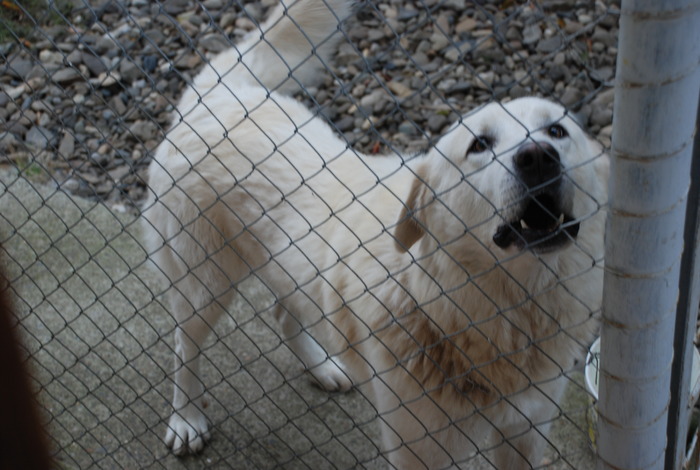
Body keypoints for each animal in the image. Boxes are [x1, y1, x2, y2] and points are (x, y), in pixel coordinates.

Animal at [142, 1, 608, 468]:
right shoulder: (418, 447)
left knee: (283, 313)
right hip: (204, 285)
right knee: (184, 348)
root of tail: (218, 97)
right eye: (479, 145)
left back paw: (322, 367)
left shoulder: (526, 429)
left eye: (557, 131)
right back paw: (186, 420)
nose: (538, 157)